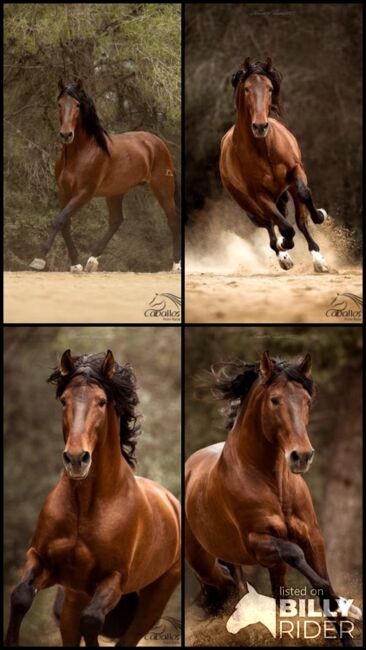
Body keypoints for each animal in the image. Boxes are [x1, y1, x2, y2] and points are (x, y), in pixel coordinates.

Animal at [5, 350, 180, 644]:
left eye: (101, 401)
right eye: (64, 400)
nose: (77, 459)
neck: (85, 507)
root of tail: (172, 502)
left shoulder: (113, 580)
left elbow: (91, 621)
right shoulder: (43, 561)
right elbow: (20, 597)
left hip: (153, 601)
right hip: (74, 597)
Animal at [29, 79, 181, 274]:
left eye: (78, 105)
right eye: (59, 104)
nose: (66, 134)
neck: (81, 153)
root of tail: (157, 142)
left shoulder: (84, 193)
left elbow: (59, 220)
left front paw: (39, 259)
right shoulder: (64, 192)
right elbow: (65, 224)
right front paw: (75, 264)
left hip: (162, 188)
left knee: (173, 221)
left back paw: (176, 265)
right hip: (116, 192)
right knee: (116, 221)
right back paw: (92, 261)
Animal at [186, 352, 360, 644]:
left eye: (307, 400)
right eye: (275, 400)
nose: (301, 456)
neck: (273, 484)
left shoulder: (313, 536)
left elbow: (323, 581)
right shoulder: (258, 542)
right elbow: (300, 559)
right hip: (208, 564)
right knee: (226, 587)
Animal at [219, 58, 330, 274]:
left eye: (270, 88)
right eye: (247, 89)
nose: (260, 126)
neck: (264, 149)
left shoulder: (295, 172)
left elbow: (304, 197)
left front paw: (320, 216)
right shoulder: (259, 195)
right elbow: (285, 228)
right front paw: (284, 245)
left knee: (298, 220)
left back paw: (317, 258)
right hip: (248, 205)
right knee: (269, 224)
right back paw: (283, 255)